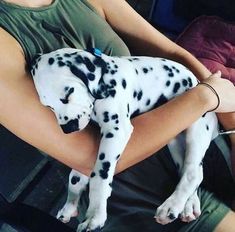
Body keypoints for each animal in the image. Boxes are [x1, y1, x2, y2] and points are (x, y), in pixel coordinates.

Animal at [30, 48, 218, 231]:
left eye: (68, 94)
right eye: (49, 106)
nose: (68, 129)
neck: (107, 80)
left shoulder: (116, 130)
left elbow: (99, 176)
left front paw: (95, 215)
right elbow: (76, 176)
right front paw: (69, 205)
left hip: (196, 132)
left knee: (193, 172)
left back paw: (172, 206)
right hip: (175, 141)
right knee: (191, 171)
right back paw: (189, 205)